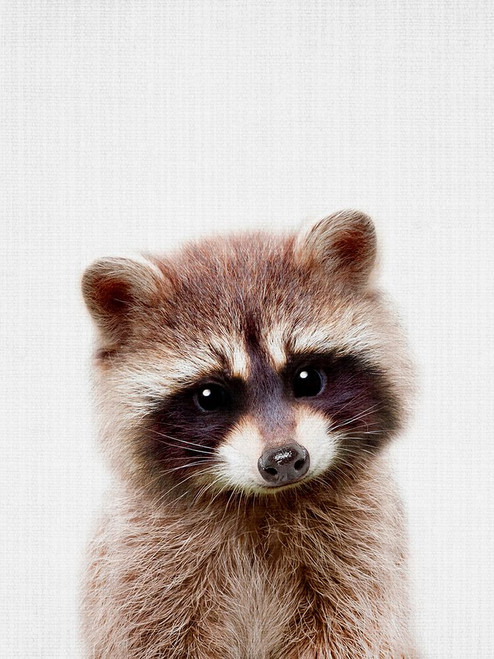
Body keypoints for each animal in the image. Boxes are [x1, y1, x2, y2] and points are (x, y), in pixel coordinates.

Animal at [80, 210, 417, 658]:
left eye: (308, 378)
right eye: (210, 396)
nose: (284, 459)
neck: (262, 502)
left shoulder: (363, 552)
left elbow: (354, 632)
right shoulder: (141, 566)